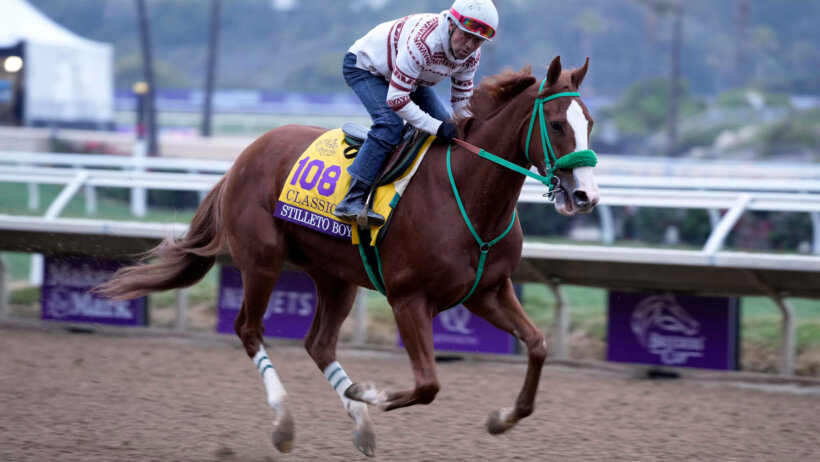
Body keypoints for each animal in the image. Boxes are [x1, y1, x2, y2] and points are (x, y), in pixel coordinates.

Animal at [97, 56, 604, 456]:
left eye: (590, 123)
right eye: (556, 124)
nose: (585, 195)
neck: (469, 195)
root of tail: (246, 153)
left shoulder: (488, 291)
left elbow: (537, 345)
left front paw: (503, 417)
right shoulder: (408, 299)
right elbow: (428, 384)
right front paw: (372, 393)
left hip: (335, 276)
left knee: (318, 343)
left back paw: (361, 427)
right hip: (261, 261)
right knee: (249, 329)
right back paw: (285, 422)